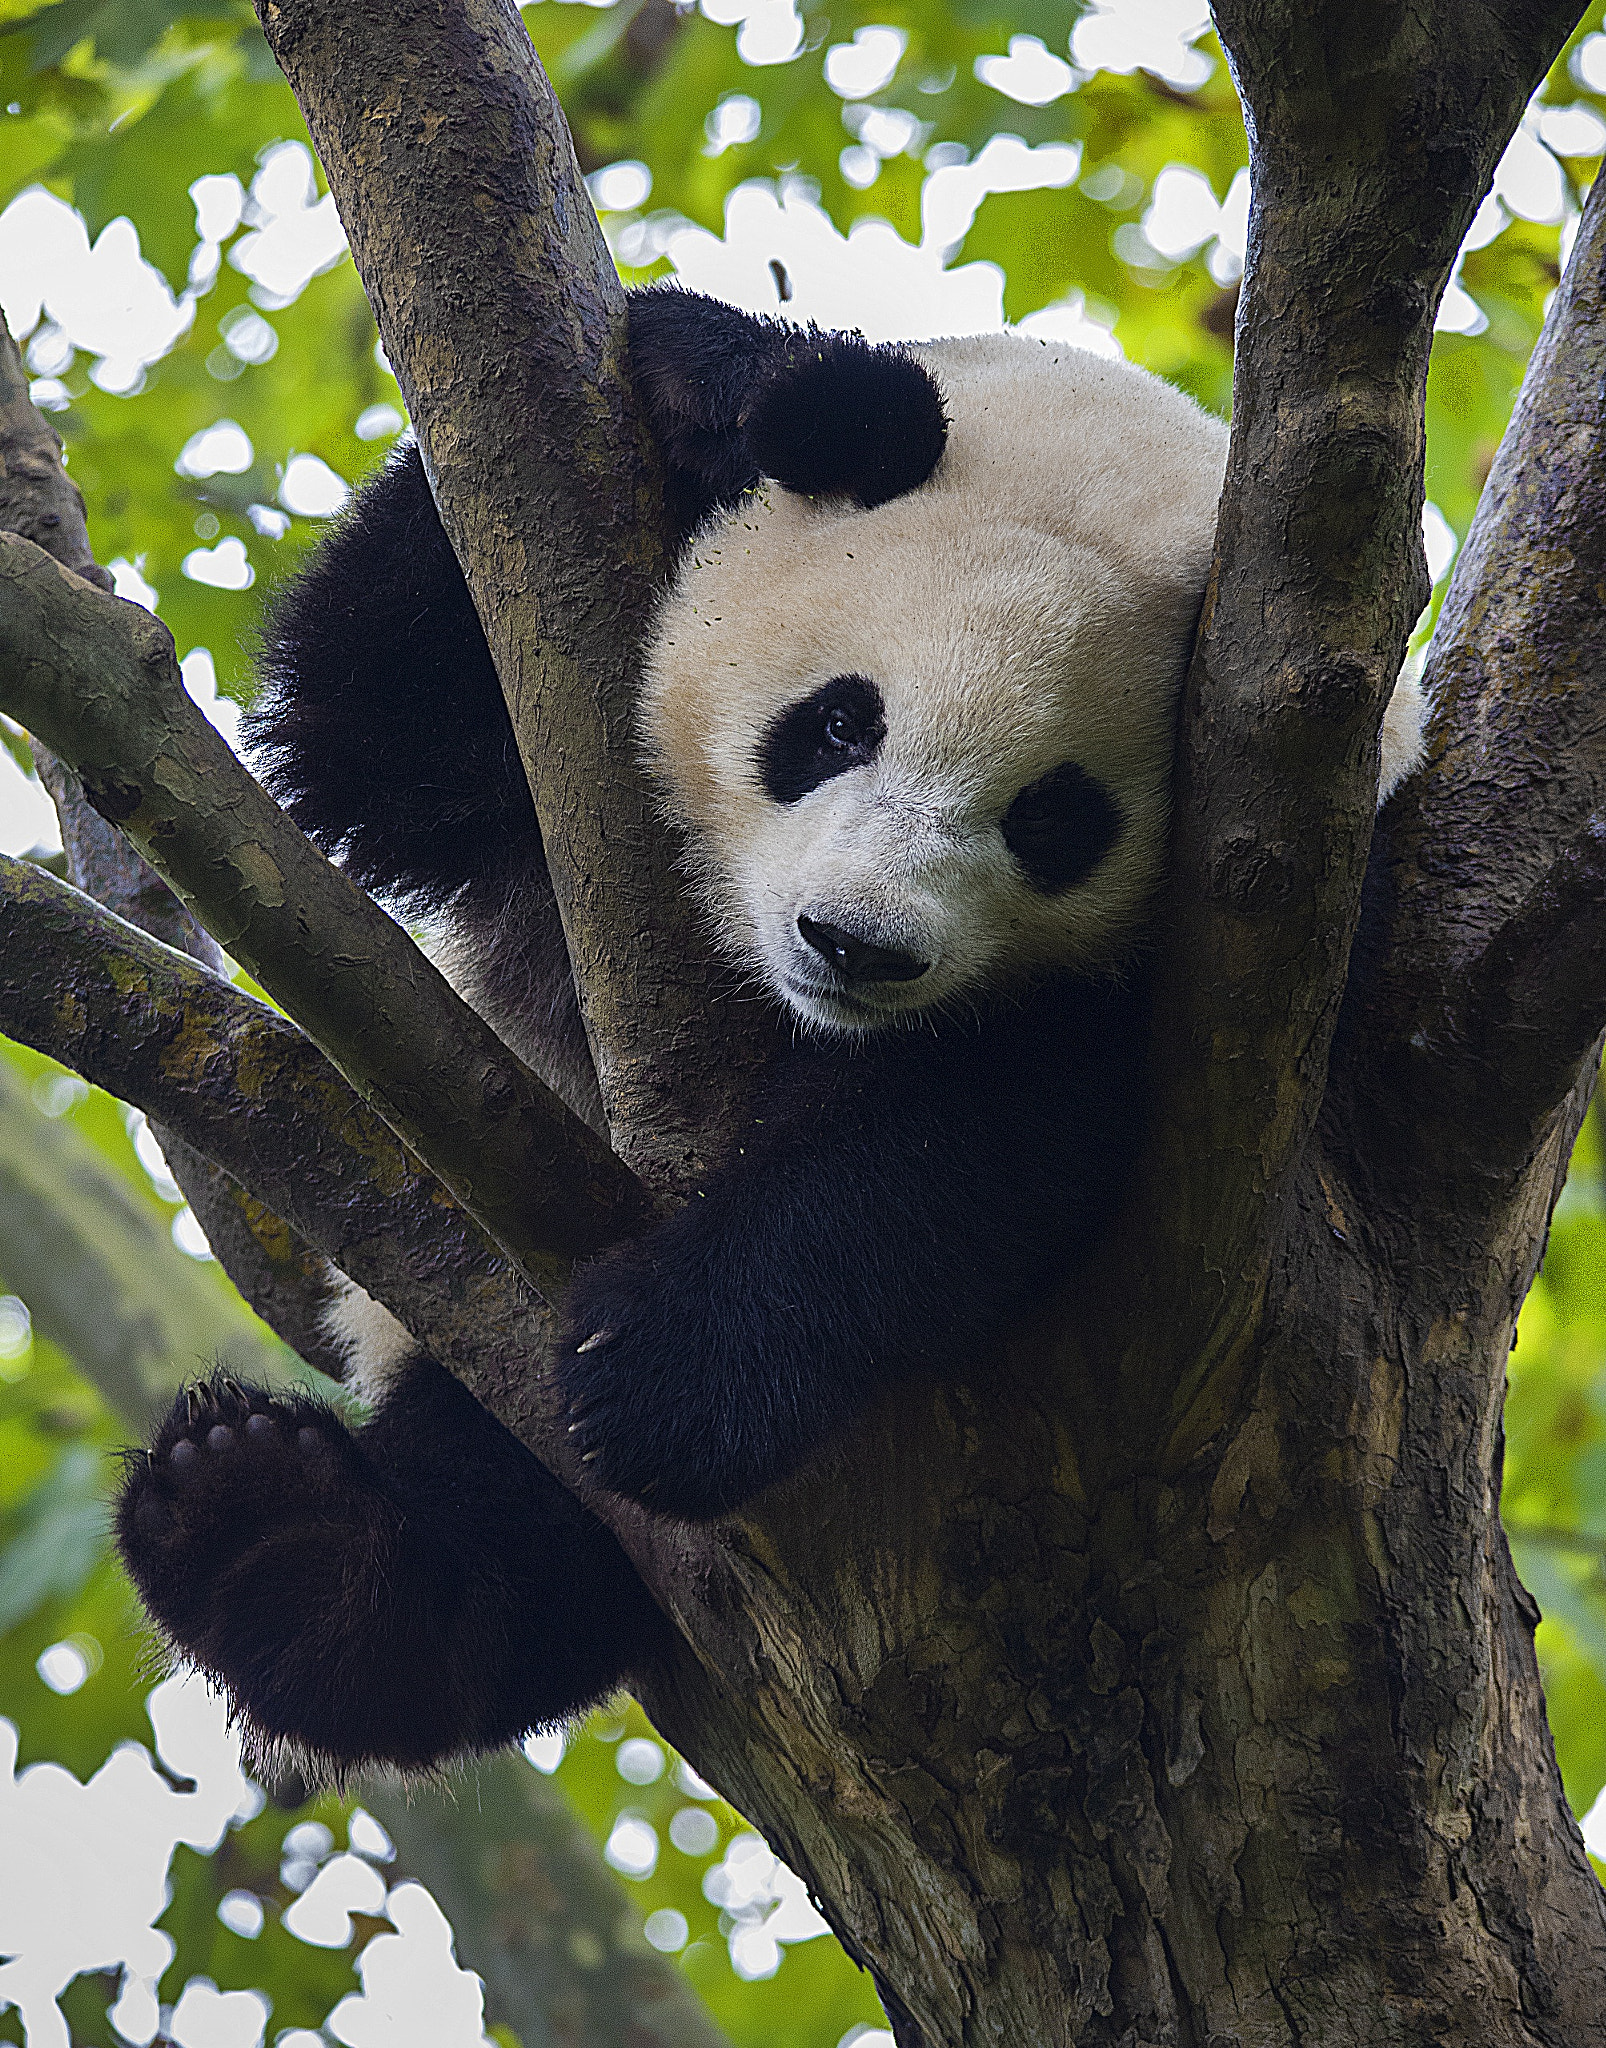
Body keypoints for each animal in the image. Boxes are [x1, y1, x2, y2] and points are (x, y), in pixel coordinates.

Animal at [115, 289, 1427, 1775]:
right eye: (839, 720)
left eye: (1055, 818)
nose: (855, 945)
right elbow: (370, 731)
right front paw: (723, 374)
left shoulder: (1266, 943)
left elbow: (983, 1136)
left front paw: (670, 1374)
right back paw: (258, 1525)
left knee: (517, 1564)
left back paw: (287, 1544)